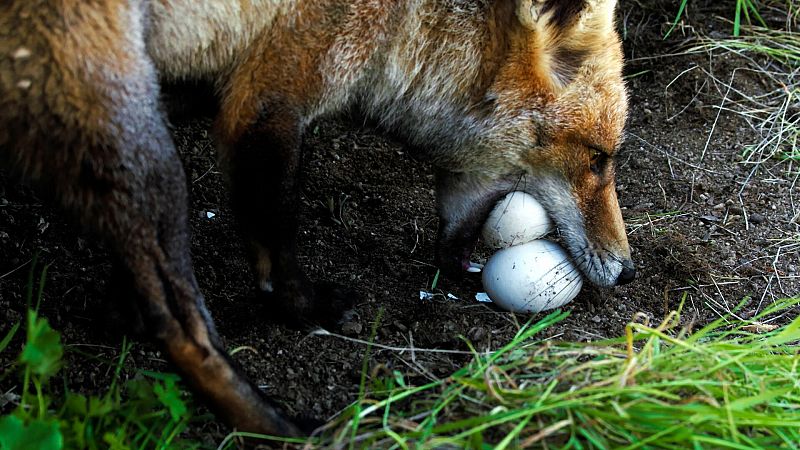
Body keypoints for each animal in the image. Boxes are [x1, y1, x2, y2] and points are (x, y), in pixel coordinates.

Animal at [1, 0, 636, 438]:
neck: (403, 17)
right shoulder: (270, 99)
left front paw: (116, 309)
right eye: (598, 158)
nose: (628, 272)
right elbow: (277, 239)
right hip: (137, 144)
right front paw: (303, 309)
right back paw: (279, 425)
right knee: (183, 328)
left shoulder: (205, 85)